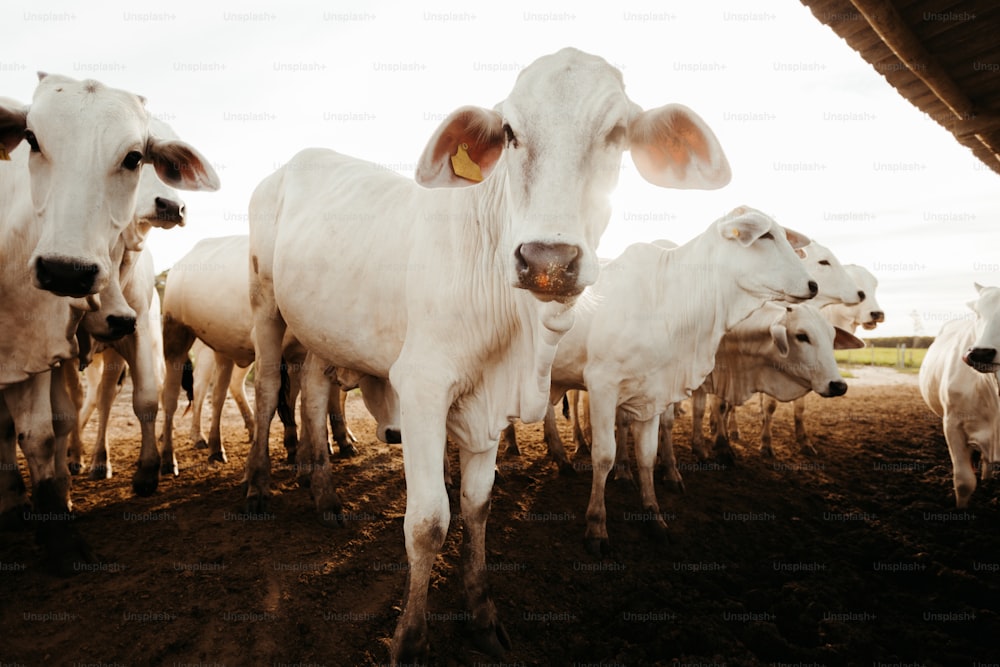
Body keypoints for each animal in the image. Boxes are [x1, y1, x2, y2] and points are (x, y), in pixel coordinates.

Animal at [0, 77, 218, 568]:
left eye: (138, 156)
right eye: (32, 139)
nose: (170, 206)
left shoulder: (134, 337)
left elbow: (145, 402)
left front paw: (148, 472)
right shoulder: (32, 350)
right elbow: (41, 428)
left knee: (97, 402)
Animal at [247, 47, 732, 664]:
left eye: (617, 133)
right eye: (509, 132)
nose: (548, 260)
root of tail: (292, 164)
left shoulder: (488, 405)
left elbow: (477, 507)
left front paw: (481, 616)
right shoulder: (423, 388)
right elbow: (429, 520)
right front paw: (409, 638)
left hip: (321, 332)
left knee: (311, 395)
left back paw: (326, 495)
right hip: (266, 306)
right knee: (268, 388)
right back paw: (258, 486)